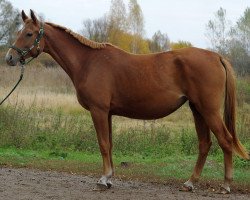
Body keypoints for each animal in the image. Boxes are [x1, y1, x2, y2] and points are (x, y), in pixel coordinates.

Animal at [4, 10, 249, 193]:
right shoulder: (108, 113)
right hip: (197, 109)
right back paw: (189, 183)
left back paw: (226, 185)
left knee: (225, 141)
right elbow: (110, 144)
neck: (88, 62)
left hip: (208, 110)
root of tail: (216, 56)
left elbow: (103, 144)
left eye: (28, 33)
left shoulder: (99, 111)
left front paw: (103, 180)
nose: (10, 58)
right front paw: (110, 178)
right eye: (20, 31)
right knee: (205, 144)